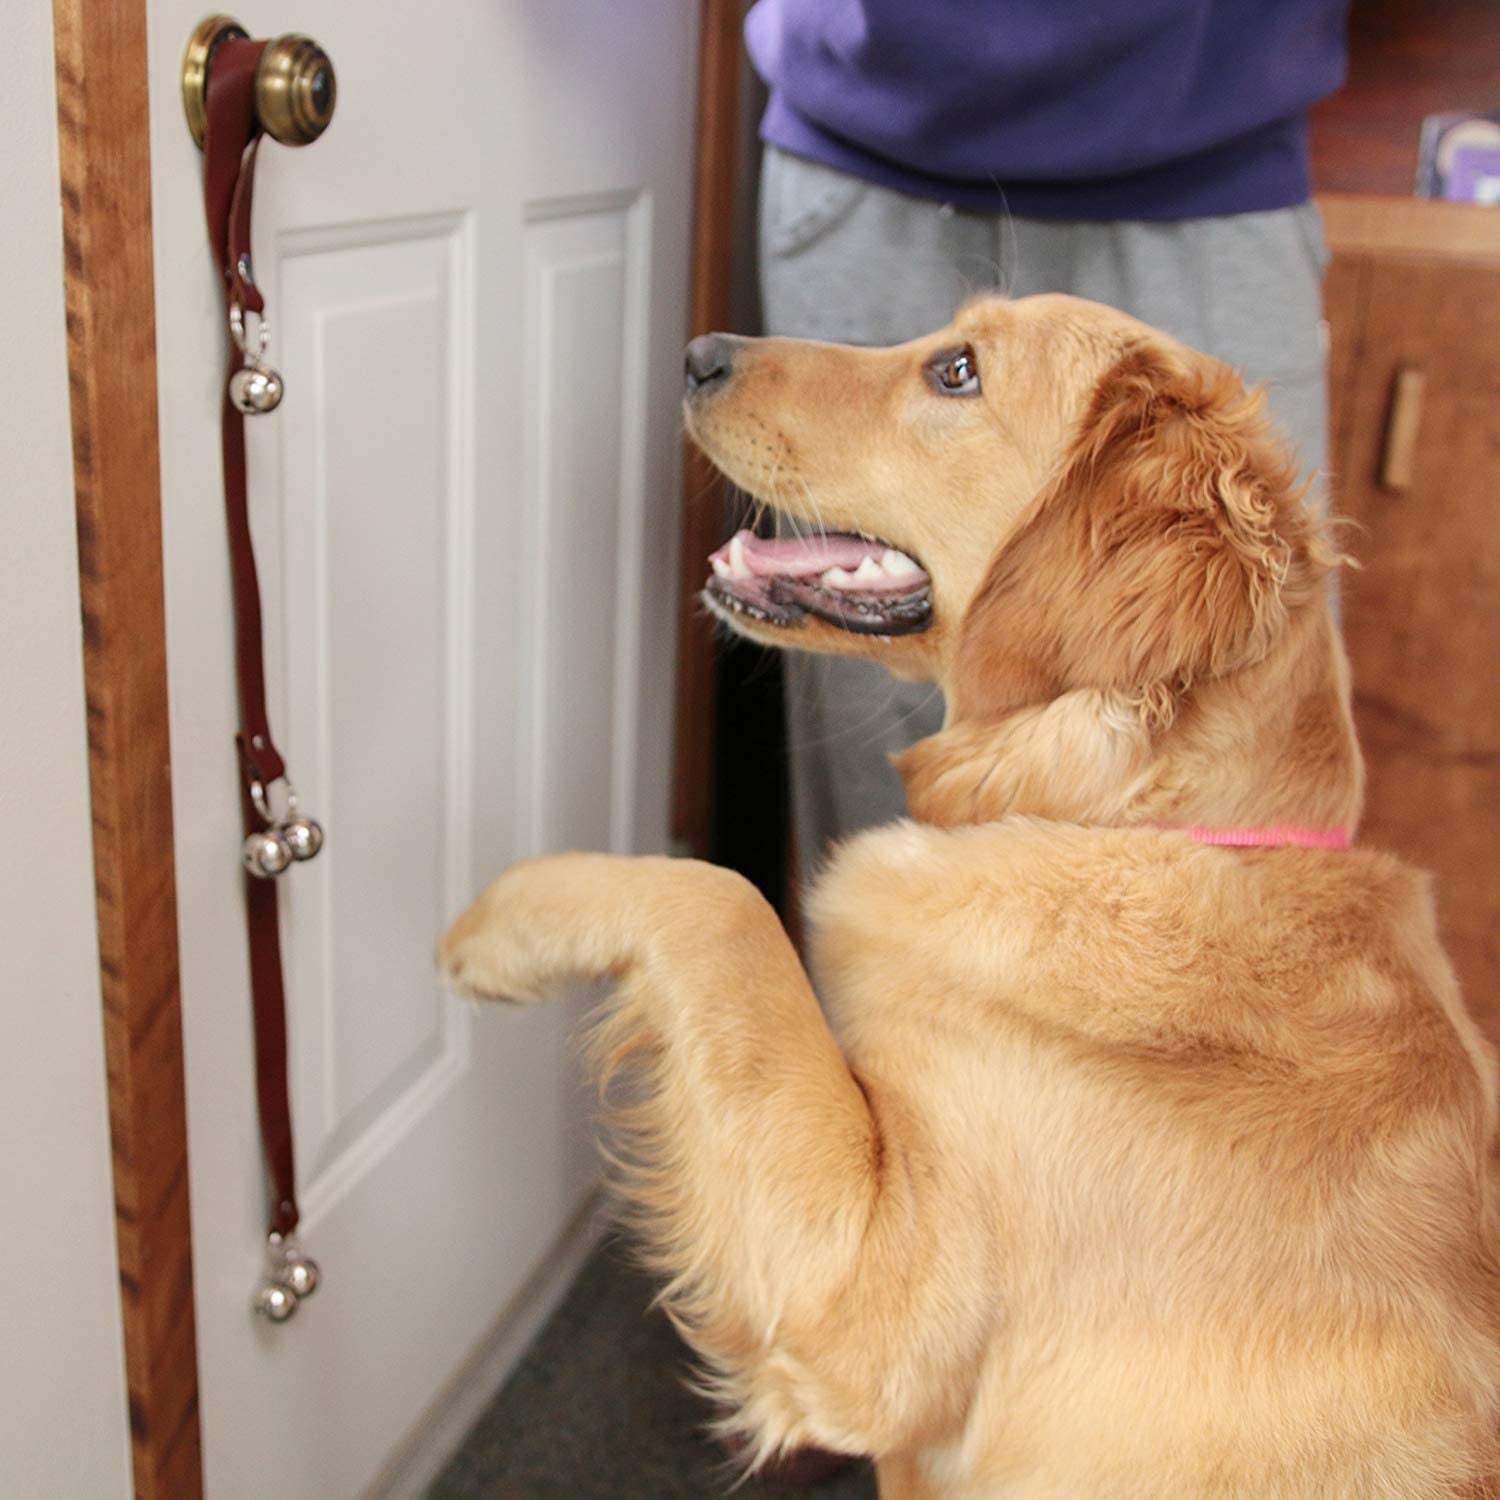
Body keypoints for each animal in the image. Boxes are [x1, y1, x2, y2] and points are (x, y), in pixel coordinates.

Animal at [441, 295, 1500, 1500]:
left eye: (957, 374)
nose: (700, 354)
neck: (1141, 823)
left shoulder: (871, 1304)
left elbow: (721, 899)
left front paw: (500, 924)